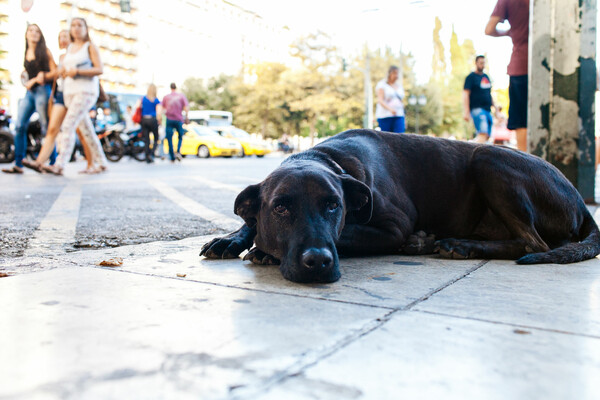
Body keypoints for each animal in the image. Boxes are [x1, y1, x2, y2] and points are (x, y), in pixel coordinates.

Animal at [202, 130, 600, 282]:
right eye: (281, 207)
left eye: (334, 205)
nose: (318, 262)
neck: (326, 157)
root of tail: (583, 205)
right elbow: (249, 219)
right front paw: (232, 238)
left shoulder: (393, 227)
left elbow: (347, 234)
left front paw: (263, 250)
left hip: (489, 157)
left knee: (534, 243)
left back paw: (459, 245)